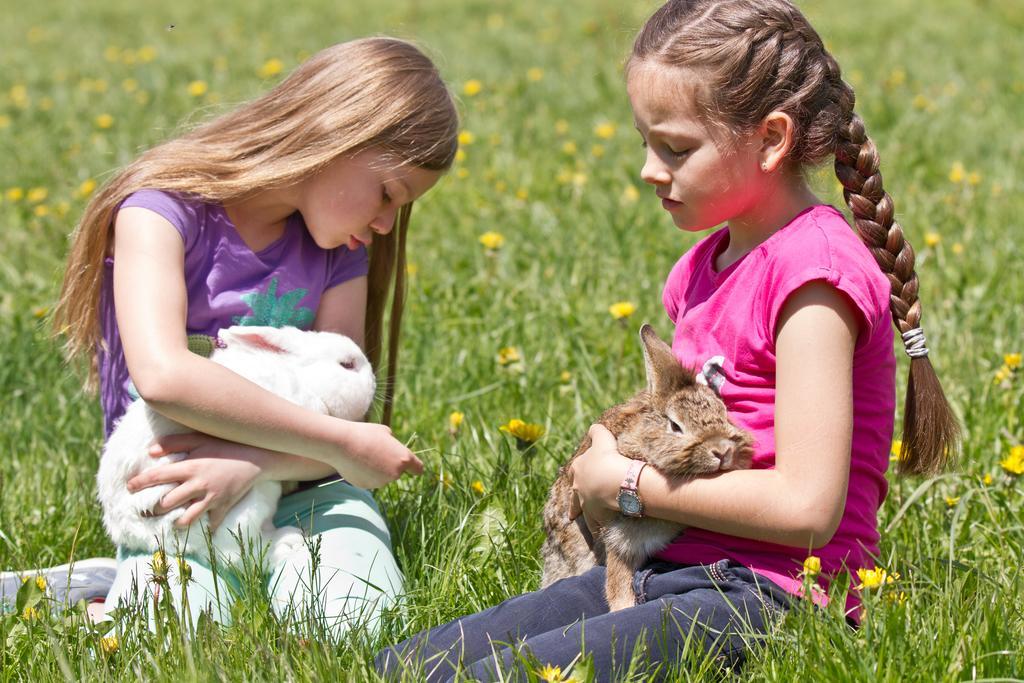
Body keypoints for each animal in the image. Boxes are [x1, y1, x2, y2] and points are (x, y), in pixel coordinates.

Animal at [95, 325, 376, 565]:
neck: (302, 379)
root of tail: (130, 530)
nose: (374, 383)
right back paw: (288, 542)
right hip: (249, 500)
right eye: (347, 365)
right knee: (233, 552)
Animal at [544, 323, 753, 610]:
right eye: (675, 426)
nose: (722, 451)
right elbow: (617, 579)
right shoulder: (619, 537)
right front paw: (622, 607)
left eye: (723, 413)